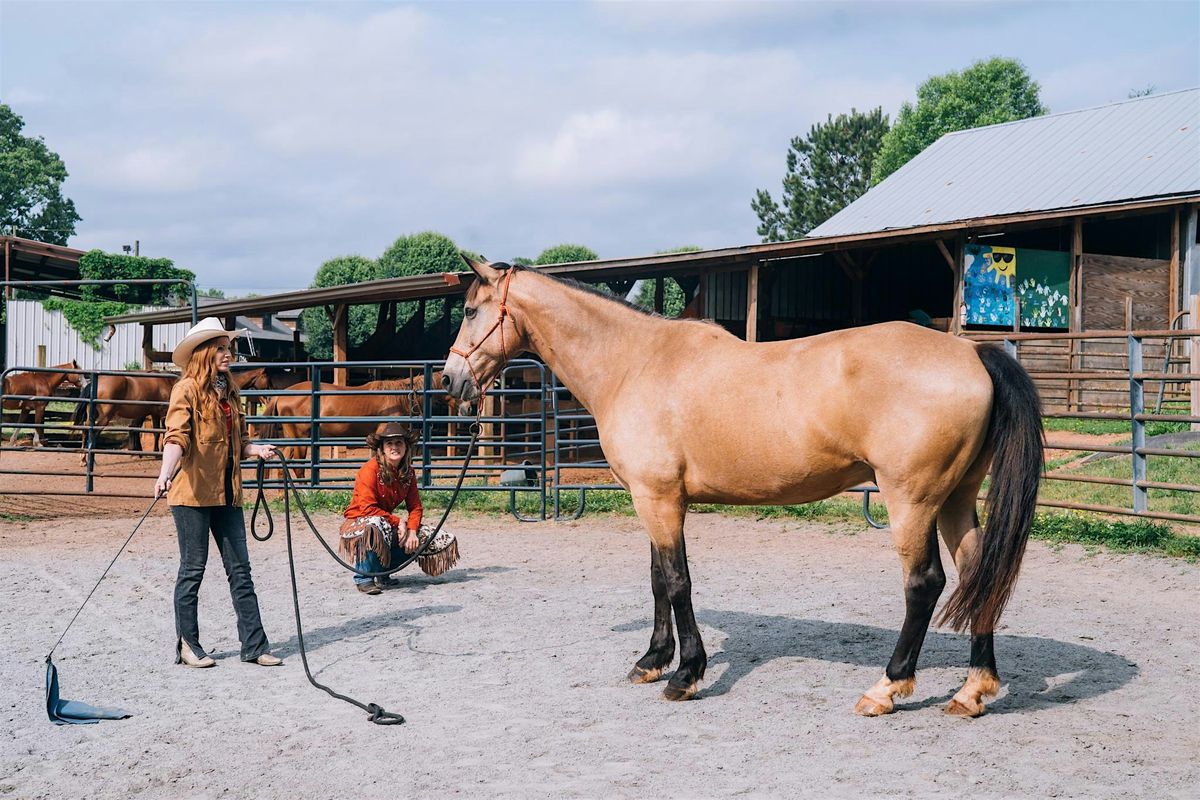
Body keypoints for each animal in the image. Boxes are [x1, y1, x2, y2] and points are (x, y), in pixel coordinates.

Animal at [446, 257, 1046, 719]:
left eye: (472, 311)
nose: (451, 382)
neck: (635, 362)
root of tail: (971, 353)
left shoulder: (658, 499)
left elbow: (678, 582)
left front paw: (685, 675)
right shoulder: (653, 498)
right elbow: (658, 580)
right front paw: (652, 660)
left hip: (912, 501)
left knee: (924, 585)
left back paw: (886, 689)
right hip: (956, 500)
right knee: (978, 575)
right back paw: (972, 691)